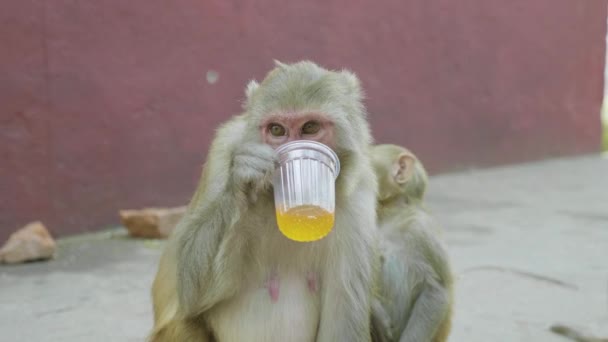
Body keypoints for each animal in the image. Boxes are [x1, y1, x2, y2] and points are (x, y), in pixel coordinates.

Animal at [148, 60, 380, 340]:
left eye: (310, 127)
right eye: (277, 129)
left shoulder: (361, 193)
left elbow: (342, 320)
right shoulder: (223, 149)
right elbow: (190, 289)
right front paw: (244, 179)